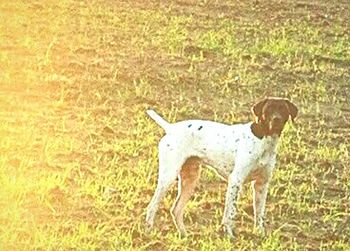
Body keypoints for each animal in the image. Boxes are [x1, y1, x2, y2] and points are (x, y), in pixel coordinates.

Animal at [145, 97, 298, 238]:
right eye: (269, 109)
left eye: (283, 110)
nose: (277, 120)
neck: (263, 140)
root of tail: (171, 128)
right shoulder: (236, 181)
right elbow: (230, 213)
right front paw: (229, 235)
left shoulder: (261, 184)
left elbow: (259, 214)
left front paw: (260, 233)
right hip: (168, 177)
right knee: (152, 207)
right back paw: (149, 231)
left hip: (190, 179)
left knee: (176, 209)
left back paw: (184, 235)